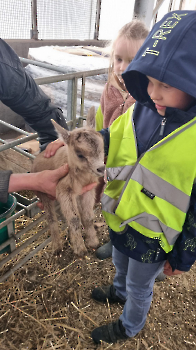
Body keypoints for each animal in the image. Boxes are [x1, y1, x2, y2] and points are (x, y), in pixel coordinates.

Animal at [32, 117, 105, 258]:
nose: (101, 168)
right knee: (52, 218)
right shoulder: (64, 190)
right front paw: (80, 249)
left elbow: (88, 217)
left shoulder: (88, 190)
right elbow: (74, 219)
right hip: (43, 193)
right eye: (80, 154)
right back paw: (57, 247)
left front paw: (93, 242)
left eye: (102, 146)